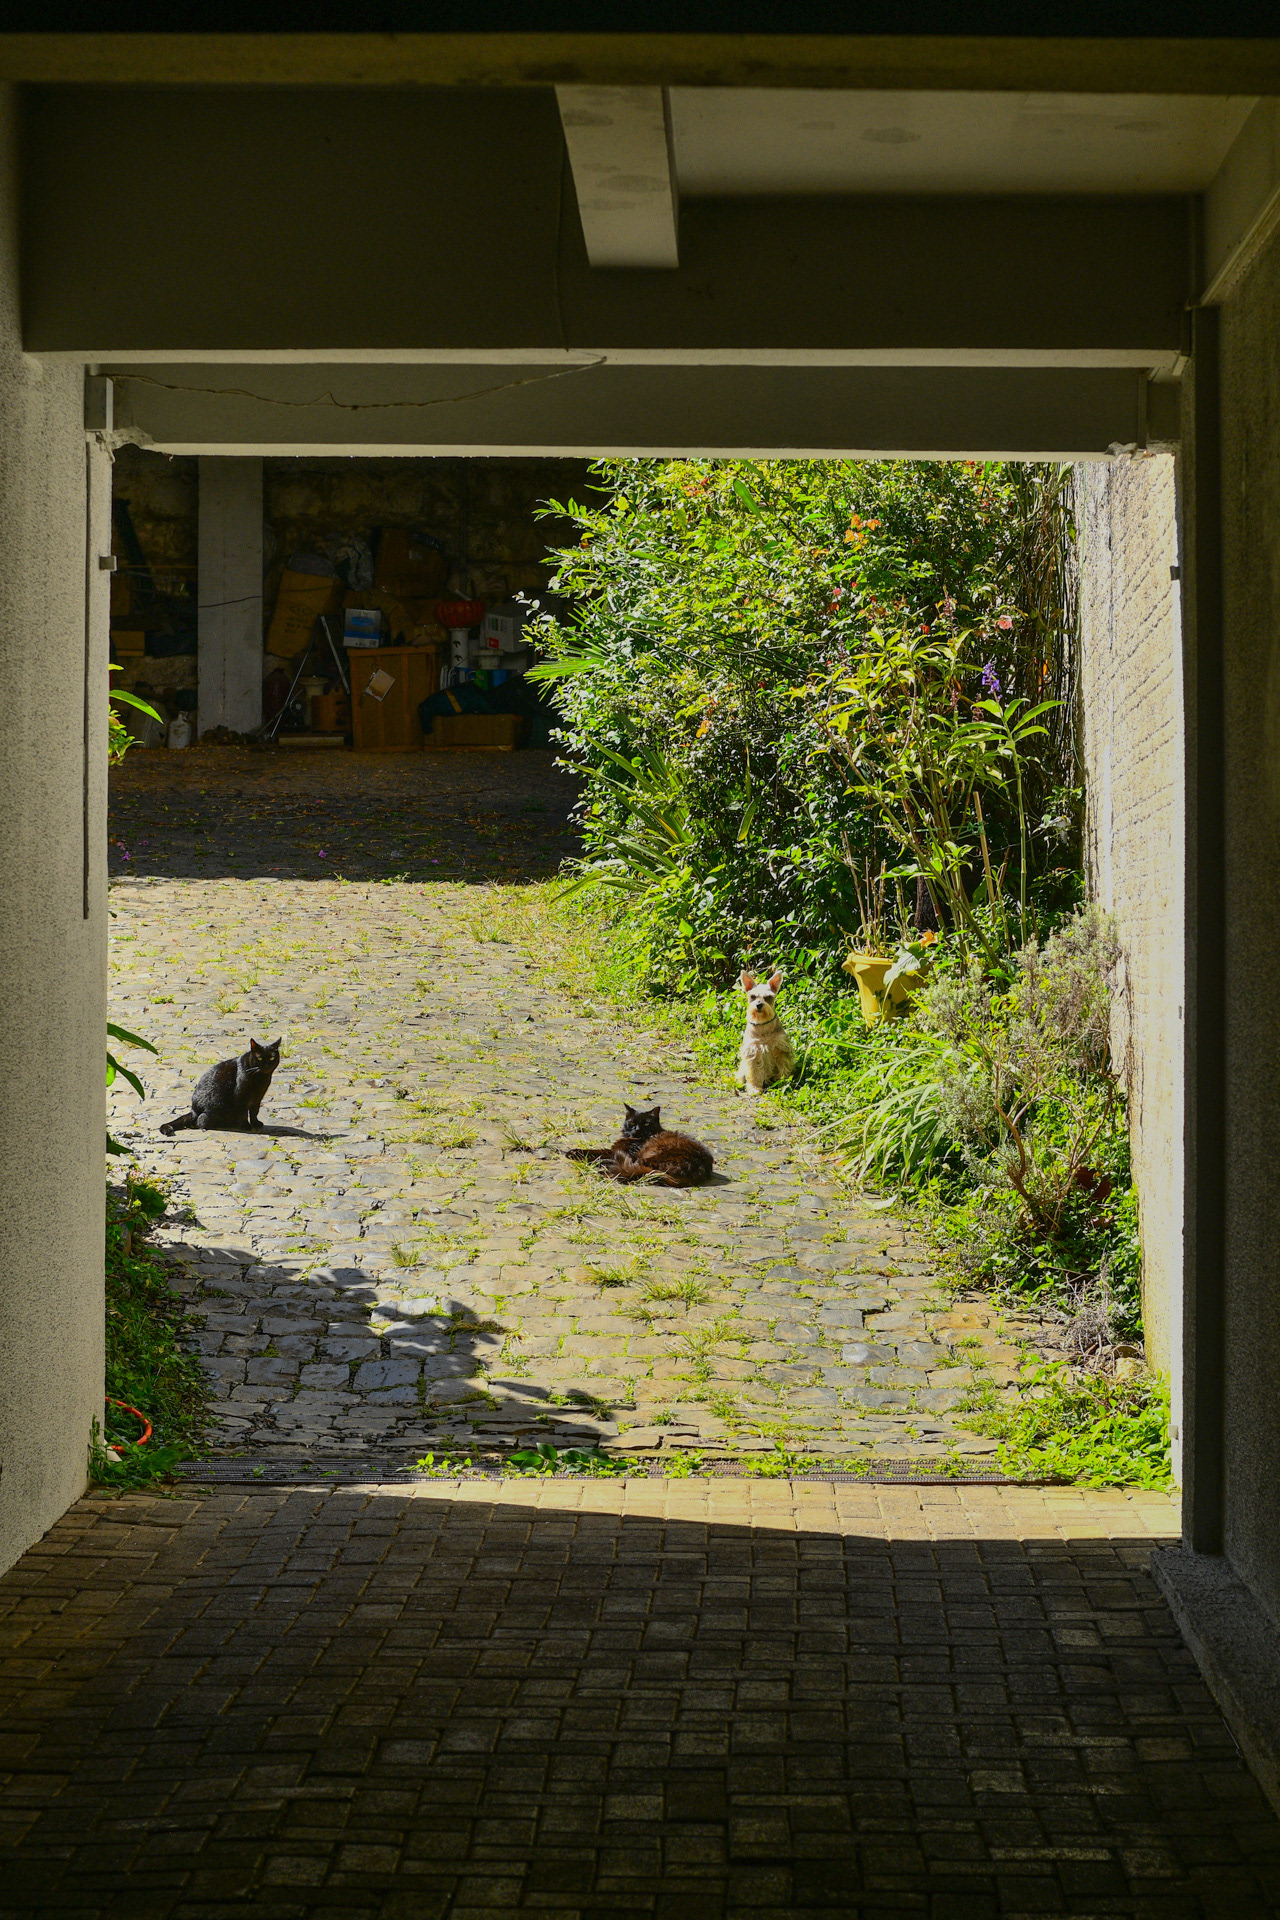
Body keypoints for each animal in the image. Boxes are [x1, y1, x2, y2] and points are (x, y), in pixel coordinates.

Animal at [566, 1103, 714, 1187]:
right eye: (632, 1123)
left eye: (647, 1123)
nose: (637, 1129)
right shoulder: (614, 1150)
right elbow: (596, 1151)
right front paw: (574, 1152)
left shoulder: (625, 1152)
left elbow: (598, 1154)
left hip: (651, 1155)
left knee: (630, 1168)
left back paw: (603, 1168)